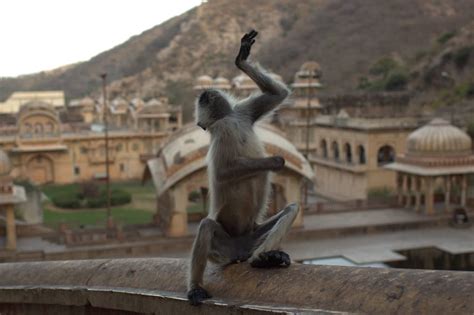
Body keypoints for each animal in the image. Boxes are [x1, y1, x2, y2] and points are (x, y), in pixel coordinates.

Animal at [187, 29, 298, 306]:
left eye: (203, 99)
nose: (204, 93)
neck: (228, 117)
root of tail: (240, 248)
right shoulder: (221, 132)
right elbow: (223, 172)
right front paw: (275, 162)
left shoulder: (242, 112)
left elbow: (278, 95)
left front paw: (242, 57)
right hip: (223, 247)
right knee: (206, 226)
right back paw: (195, 287)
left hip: (254, 235)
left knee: (291, 208)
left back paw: (263, 258)